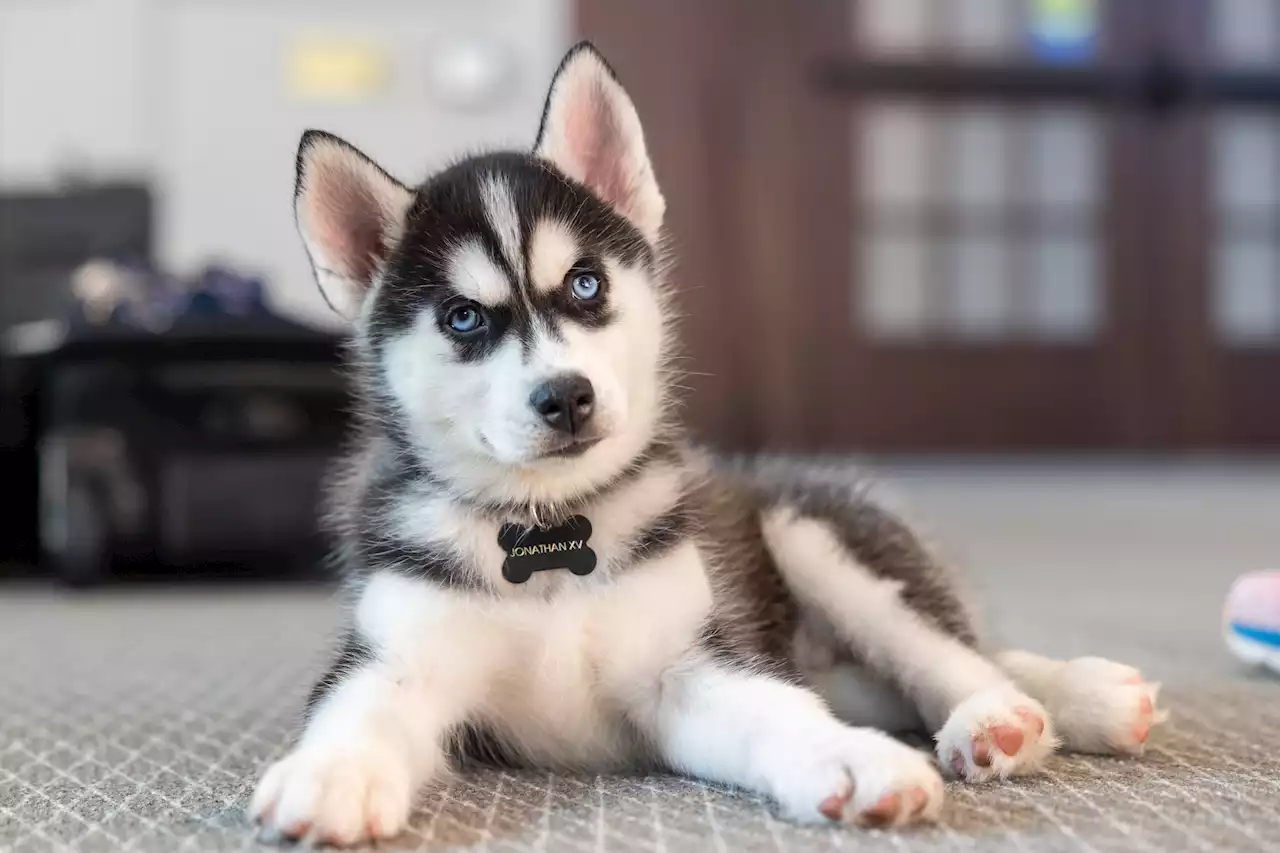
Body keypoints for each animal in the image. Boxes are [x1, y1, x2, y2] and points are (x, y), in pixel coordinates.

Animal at [249, 43, 1172, 840]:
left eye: (586, 283)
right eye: (464, 317)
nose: (566, 397)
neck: (549, 530)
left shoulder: (689, 667)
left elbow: (782, 713)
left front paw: (850, 760)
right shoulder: (399, 655)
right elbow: (359, 709)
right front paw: (328, 773)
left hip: (813, 531)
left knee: (954, 649)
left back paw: (1017, 711)